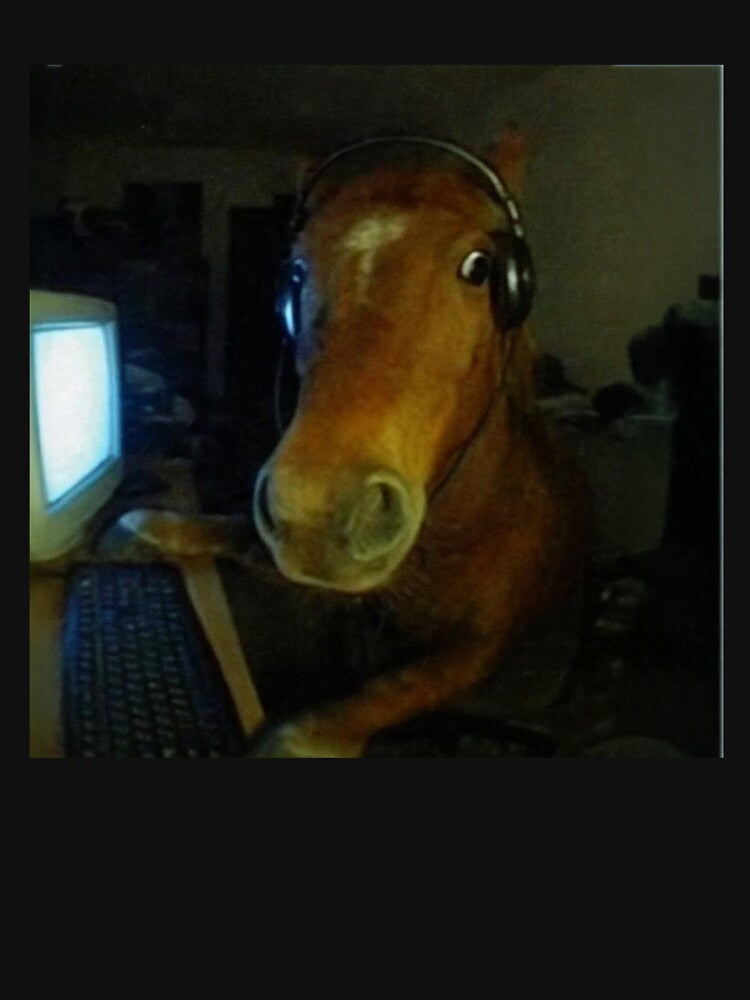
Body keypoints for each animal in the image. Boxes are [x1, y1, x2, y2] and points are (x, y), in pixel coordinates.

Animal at [125, 133, 587, 757]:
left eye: (480, 267)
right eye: (297, 271)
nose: (316, 508)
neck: (455, 529)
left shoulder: (480, 648)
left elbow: (395, 688)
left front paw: (303, 737)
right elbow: (232, 530)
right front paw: (149, 525)